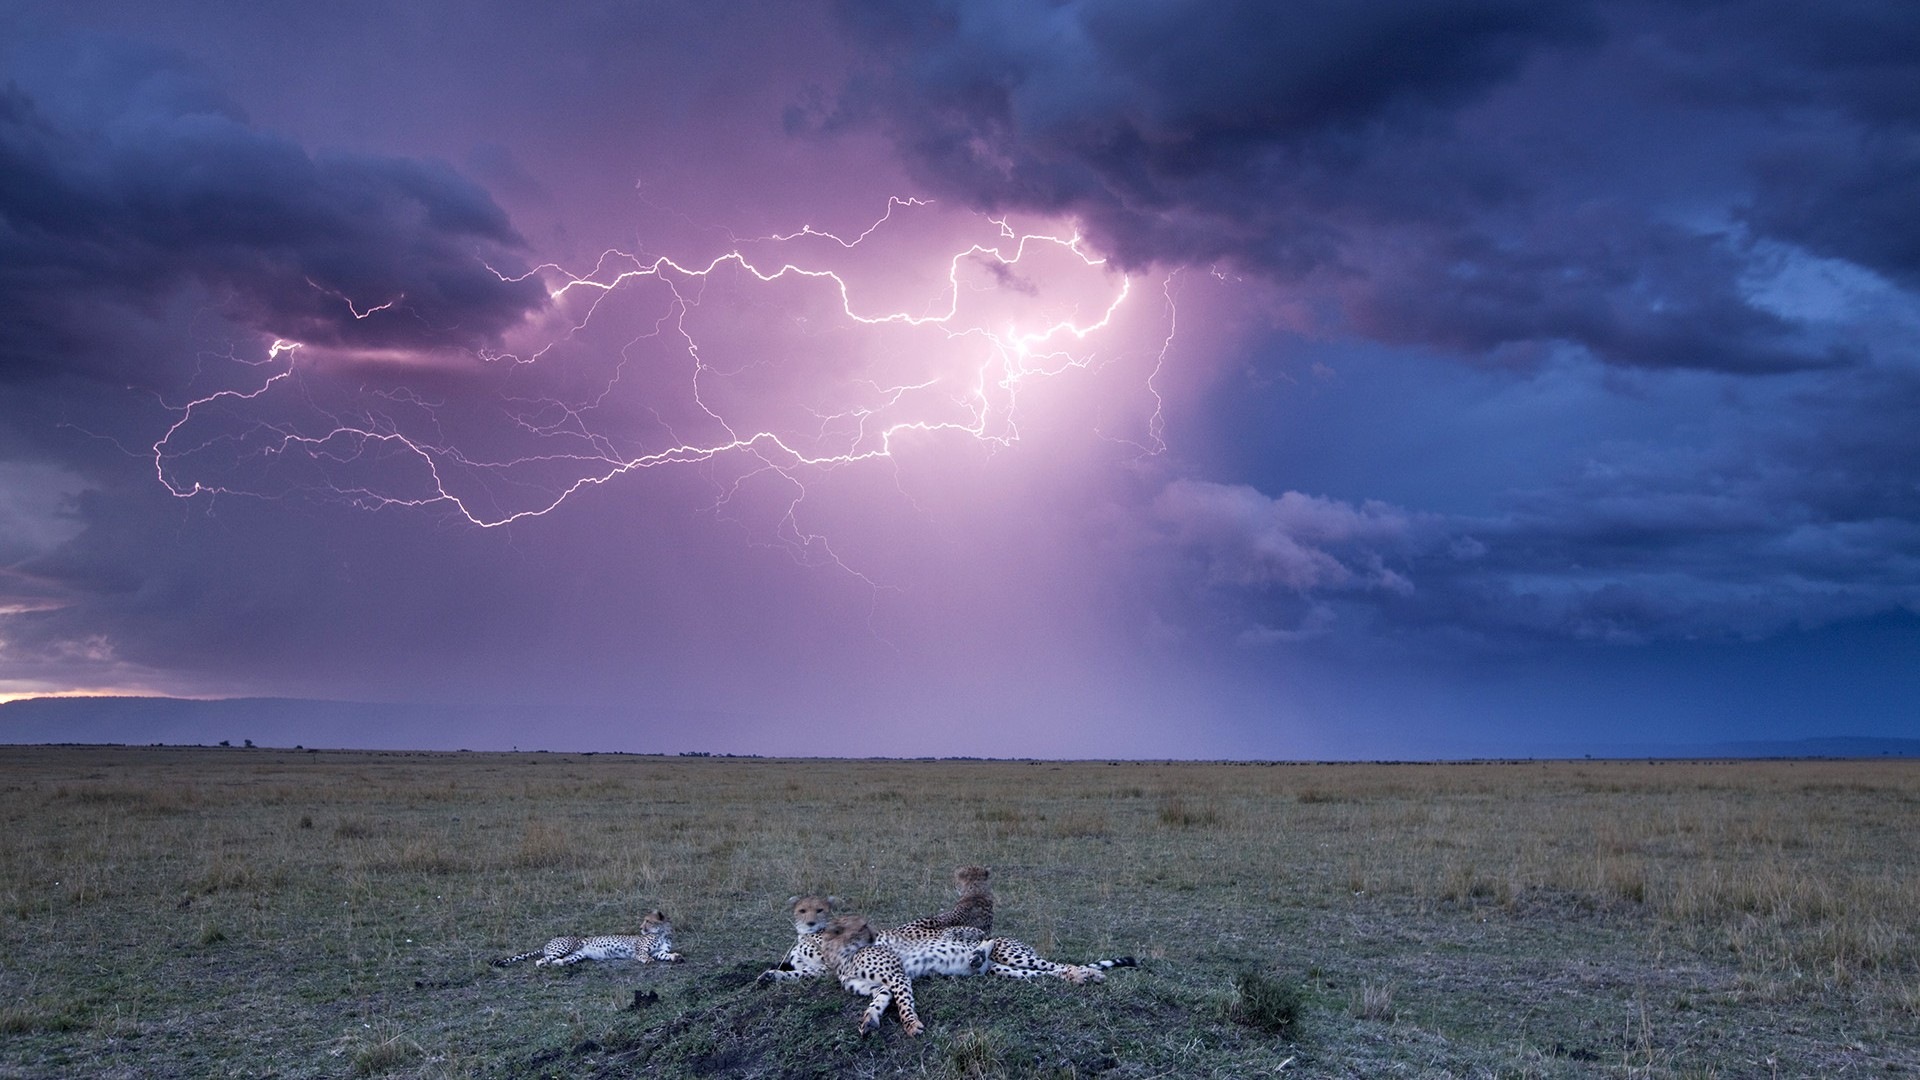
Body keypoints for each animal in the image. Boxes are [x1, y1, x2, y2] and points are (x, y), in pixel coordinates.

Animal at [487, 903, 683, 960]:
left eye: (647, 921)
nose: (640, 928)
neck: (662, 933)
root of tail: (548, 942)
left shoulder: (659, 951)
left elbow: (665, 955)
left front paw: (675, 956)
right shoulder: (639, 948)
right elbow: (642, 954)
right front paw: (646, 960)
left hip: (577, 955)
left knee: (559, 961)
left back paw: (562, 964)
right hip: (563, 948)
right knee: (541, 960)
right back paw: (543, 964)